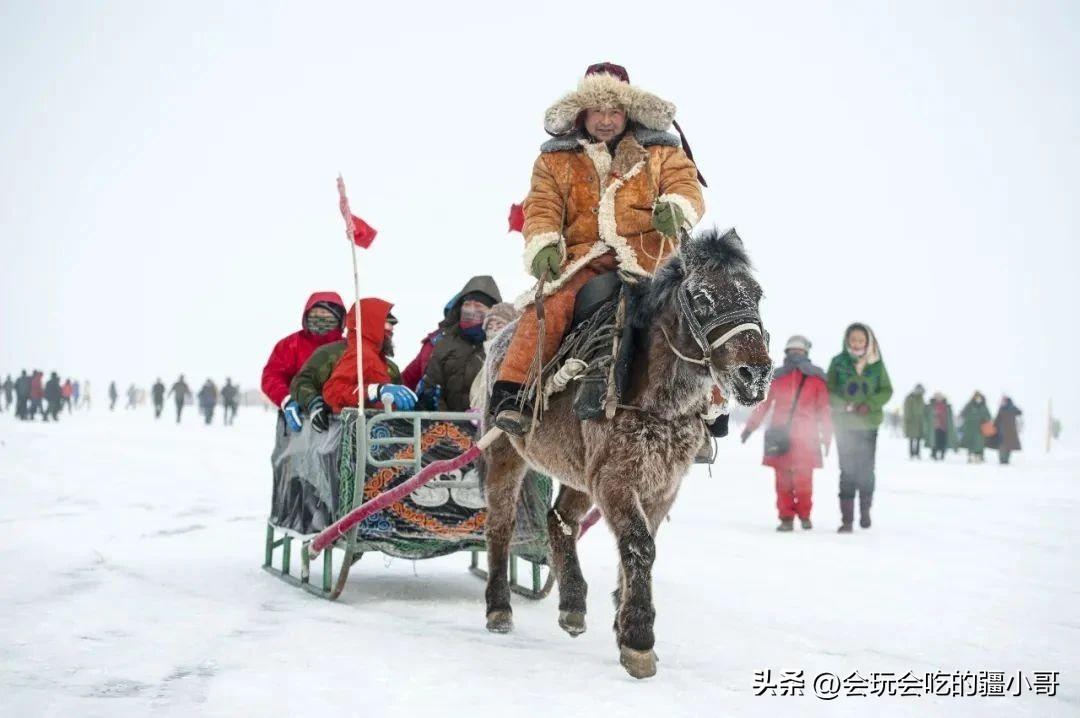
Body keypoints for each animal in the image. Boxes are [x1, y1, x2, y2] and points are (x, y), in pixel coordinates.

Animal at [483, 226, 777, 673]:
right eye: (701, 297)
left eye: (756, 294)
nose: (755, 373)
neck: (655, 401)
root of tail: (496, 341)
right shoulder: (615, 480)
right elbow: (639, 545)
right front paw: (638, 636)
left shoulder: (661, 484)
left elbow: (640, 544)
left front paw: (624, 622)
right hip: (505, 453)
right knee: (501, 524)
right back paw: (499, 606)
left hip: (580, 474)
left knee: (559, 520)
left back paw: (572, 602)